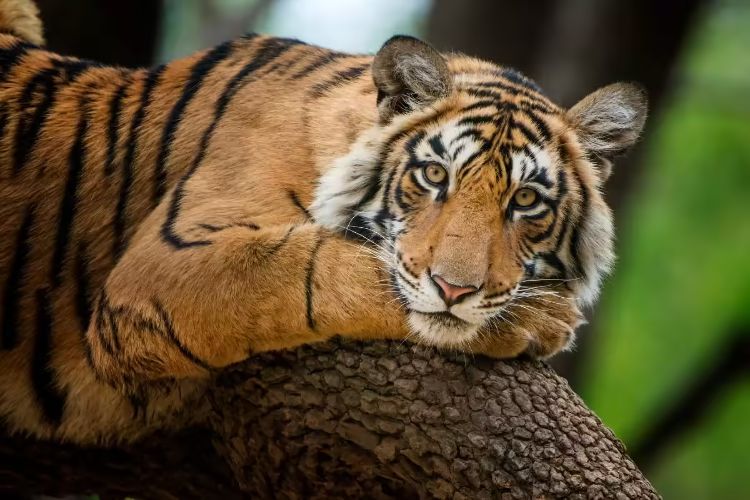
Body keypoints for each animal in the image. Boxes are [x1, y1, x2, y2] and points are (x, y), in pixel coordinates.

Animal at [0, 0, 647, 444]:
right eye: (434, 175)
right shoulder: (162, 265)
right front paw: (539, 319)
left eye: (526, 201)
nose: (455, 289)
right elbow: (316, 268)